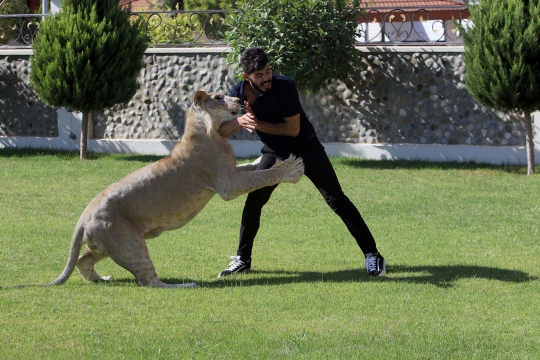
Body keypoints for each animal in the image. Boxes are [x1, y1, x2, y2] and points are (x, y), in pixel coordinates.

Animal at [39, 90, 304, 290]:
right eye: (219, 96)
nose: (240, 100)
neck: (210, 132)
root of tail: (84, 215)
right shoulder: (227, 185)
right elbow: (263, 175)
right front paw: (292, 168)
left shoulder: (231, 173)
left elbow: (252, 167)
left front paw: (264, 160)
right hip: (130, 243)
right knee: (149, 282)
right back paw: (186, 285)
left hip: (110, 244)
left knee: (83, 260)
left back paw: (101, 278)